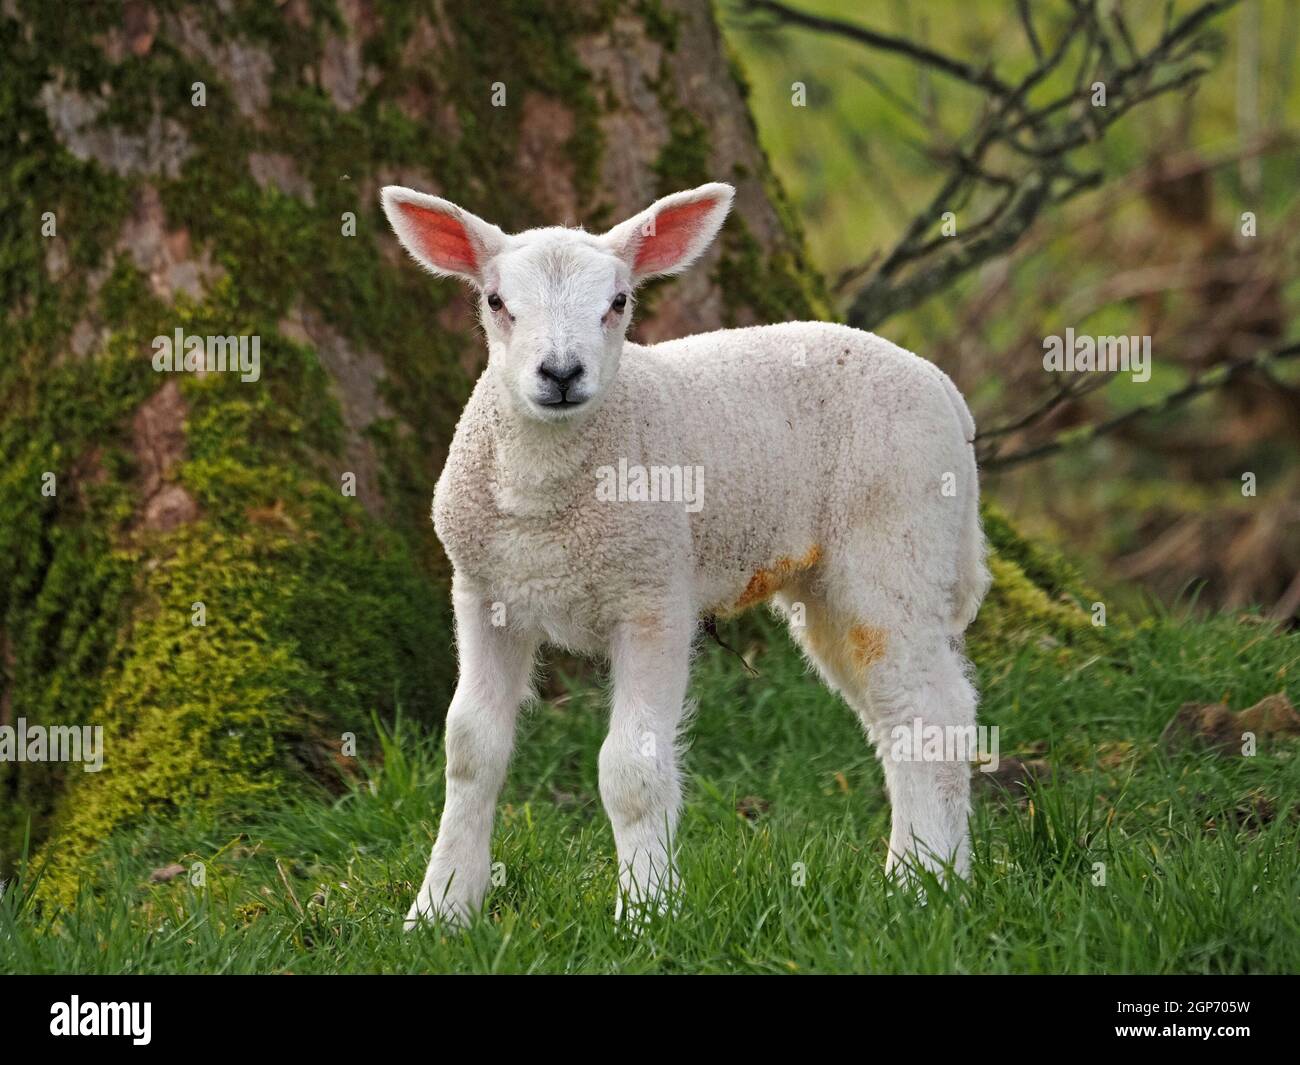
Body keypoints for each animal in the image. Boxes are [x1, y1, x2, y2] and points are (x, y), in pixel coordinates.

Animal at [379, 180, 987, 925]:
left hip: (898, 538)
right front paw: (439, 911)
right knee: (899, 714)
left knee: (932, 713)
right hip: (830, 585)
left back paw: (925, 888)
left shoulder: (653, 595)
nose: (561, 373)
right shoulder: (484, 592)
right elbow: (470, 751)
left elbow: (631, 768)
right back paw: (916, 876)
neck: (544, 497)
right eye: (496, 300)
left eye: (618, 302)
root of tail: (944, 390)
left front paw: (646, 912)